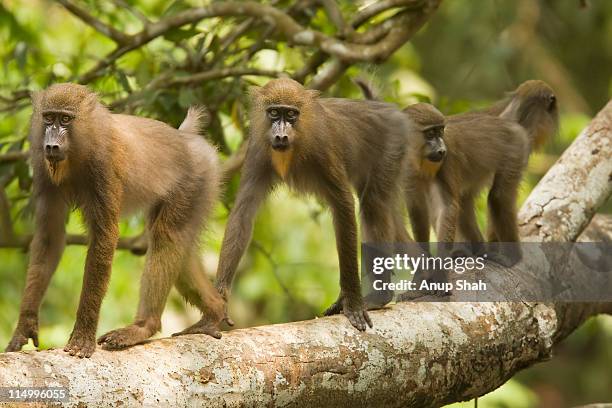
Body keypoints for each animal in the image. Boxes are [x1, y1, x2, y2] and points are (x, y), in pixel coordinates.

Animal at [6, 83, 227, 356]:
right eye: (48, 118)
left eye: (65, 119)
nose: (52, 145)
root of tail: (186, 137)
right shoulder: (42, 168)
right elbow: (50, 237)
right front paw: (24, 325)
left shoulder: (104, 167)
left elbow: (105, 237)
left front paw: (83, 336)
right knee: (181, 250)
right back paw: (214, 311)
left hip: (195, 179)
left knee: (167, 236)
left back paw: (143, 327)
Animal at [214, 77, 416, 332]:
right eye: (273, 113)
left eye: (291, 114)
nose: (281, 135)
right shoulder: (258, 150)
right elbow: (243, 213)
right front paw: (216, 305)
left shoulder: (323, 148)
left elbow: (343, 204)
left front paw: (352, 302)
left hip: (392, 148)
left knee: (374, 205)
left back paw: (378, 298)